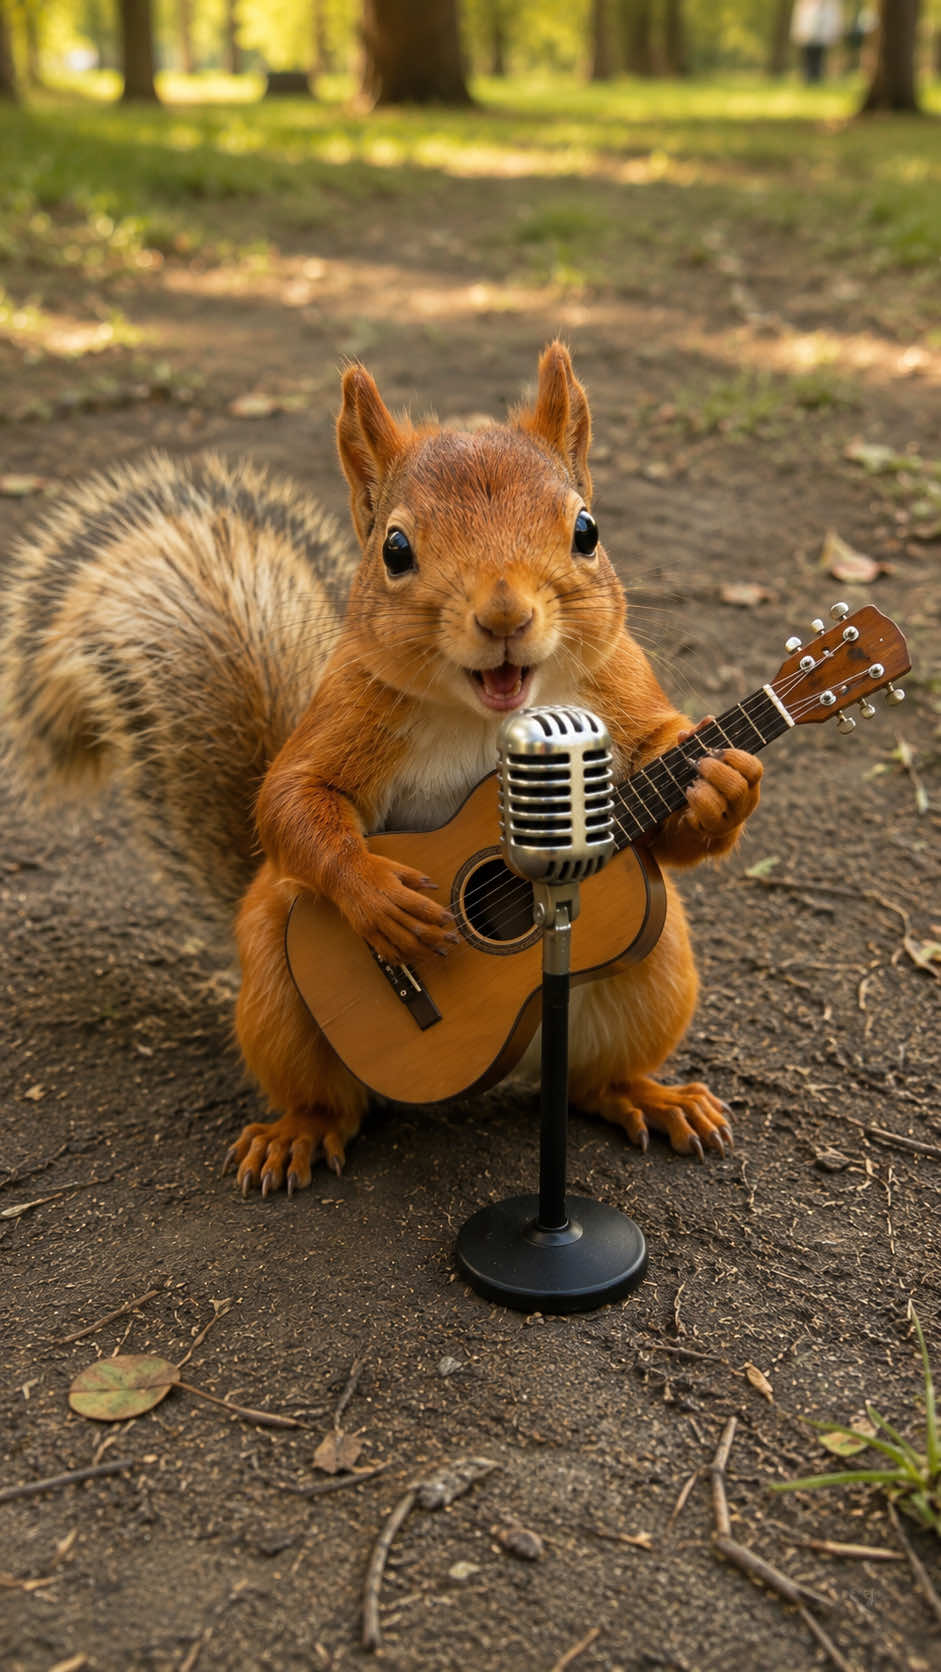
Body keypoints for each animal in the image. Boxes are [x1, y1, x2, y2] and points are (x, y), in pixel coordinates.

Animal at [1, 343, 762, 1195]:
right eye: (395, 550)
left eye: (586, 531)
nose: (504, 616)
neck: (489, 709)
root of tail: (509, 1068)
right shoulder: (350, 706)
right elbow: (290, 798)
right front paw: (376, 897)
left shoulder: (621, 694)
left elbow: (665, 805)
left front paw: (722, 786)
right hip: (278, 981)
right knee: (332, 1100)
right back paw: (295, 1134)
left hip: (656, 967)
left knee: (591, 1083)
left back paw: (650, 1097)